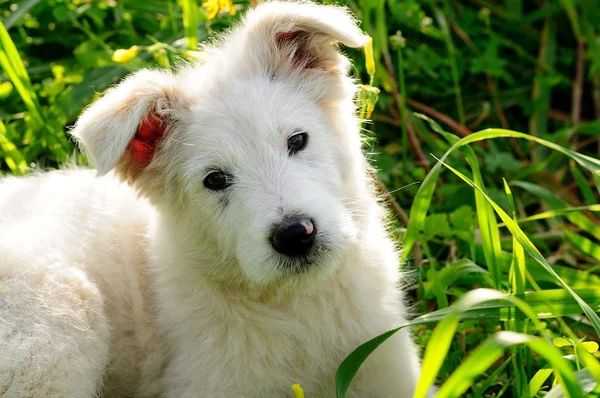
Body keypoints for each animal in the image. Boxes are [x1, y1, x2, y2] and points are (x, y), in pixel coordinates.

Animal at [1, 1, 432, 396]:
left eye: (297, 140)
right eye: (215, 180)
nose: (295, 234)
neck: (294, 303)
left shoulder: (386, 361)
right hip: (59, 316)